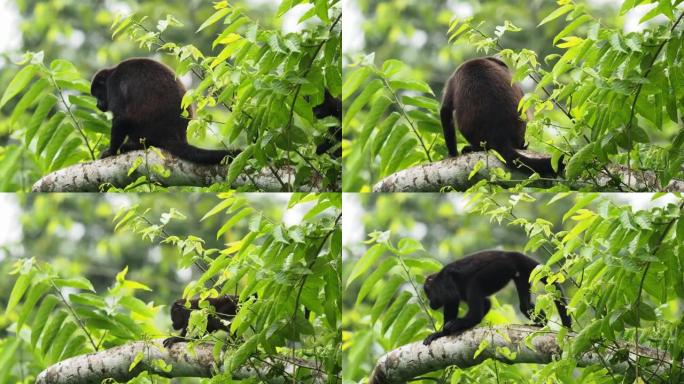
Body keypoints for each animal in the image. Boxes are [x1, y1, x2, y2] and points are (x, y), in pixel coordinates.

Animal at [89, 57, 242, 164]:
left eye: (98, 95)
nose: (98, 105)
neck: (110, 74)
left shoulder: (114, 85)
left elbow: (121, 117)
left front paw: (110, 151)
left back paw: (133, 145)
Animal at [422, 250, 572, 346]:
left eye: (429, 294)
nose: (430, 303)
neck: (436, 279)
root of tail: (511, 254)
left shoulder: (443, 283)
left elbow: (452, 299)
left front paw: (441, 333)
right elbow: (486, 303)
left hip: (499, 268)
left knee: (475, 283)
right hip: (521, 274)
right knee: (524, 305)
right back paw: (541, 324)